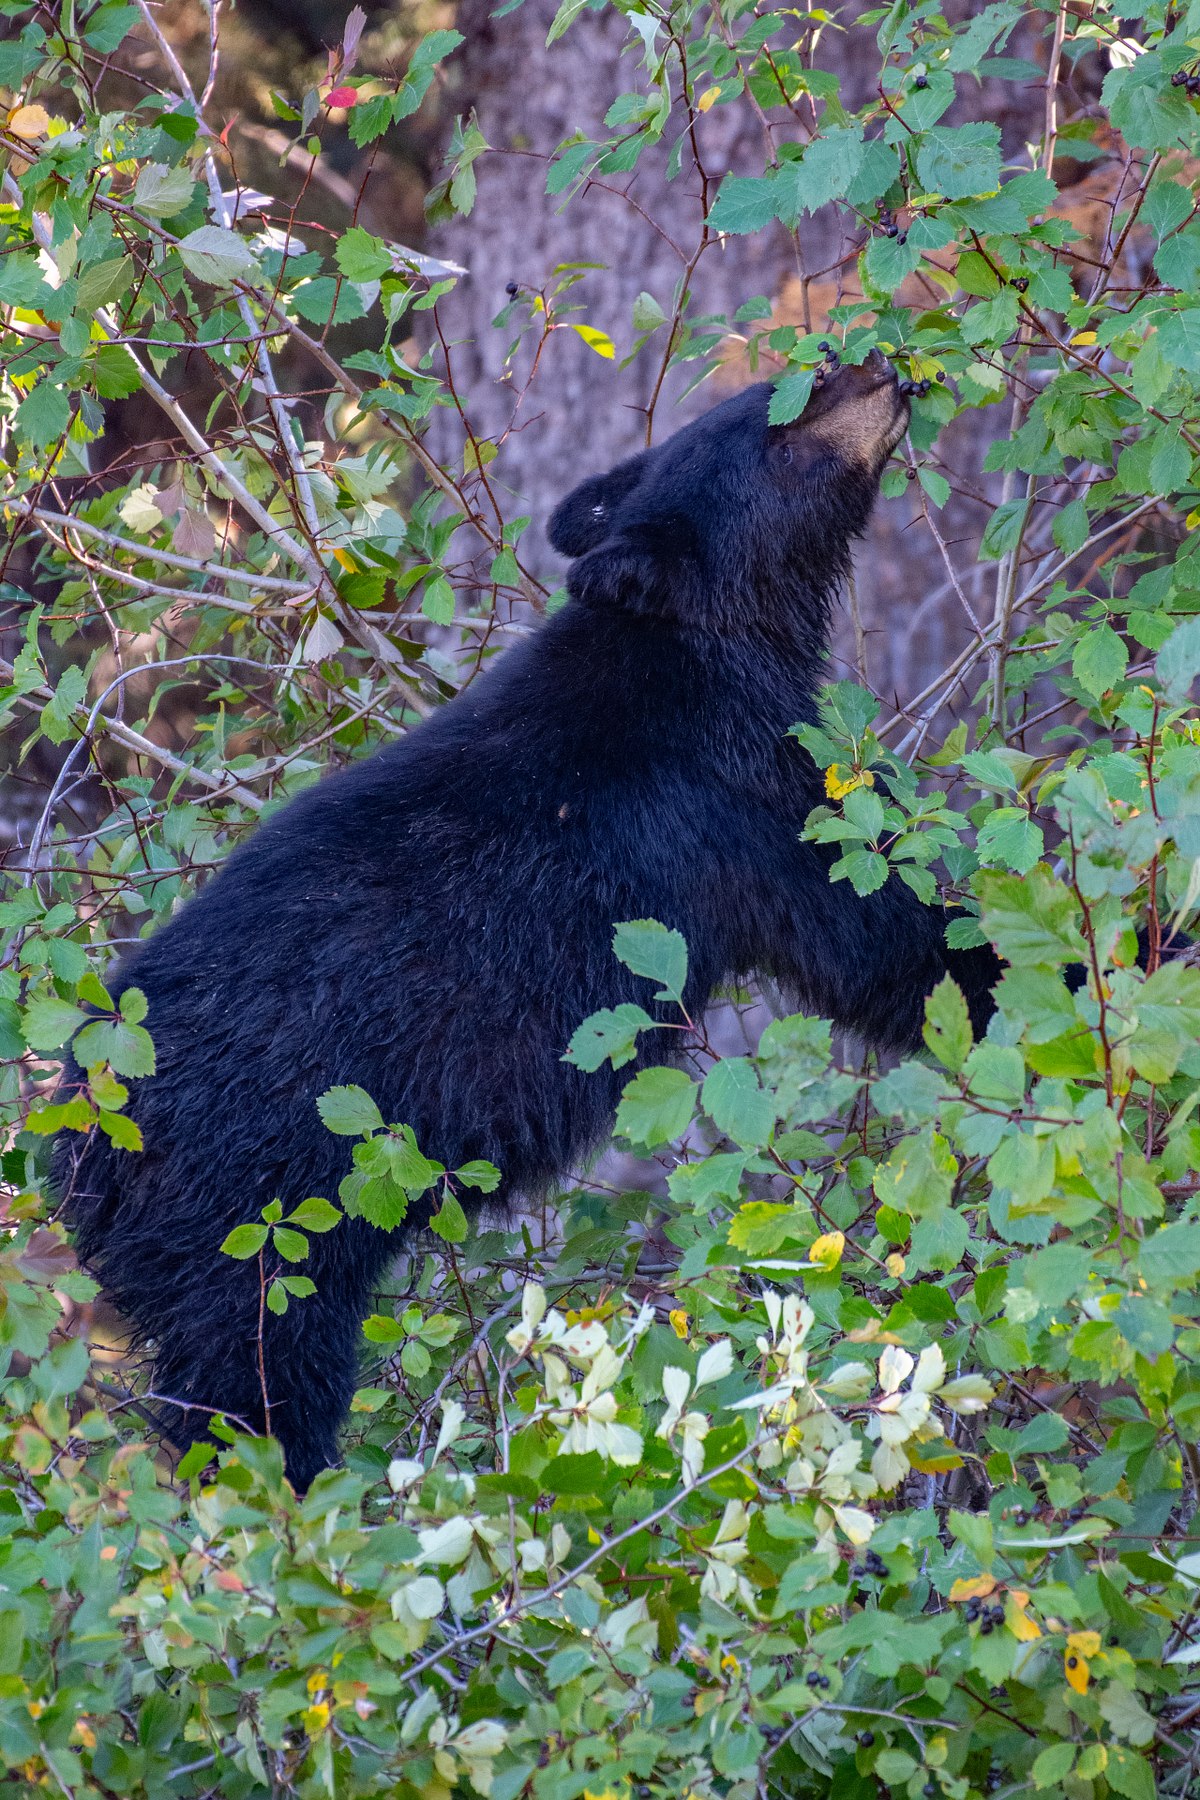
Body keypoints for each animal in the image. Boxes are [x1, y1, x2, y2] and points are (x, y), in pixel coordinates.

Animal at [55, 350, 1000, 1490]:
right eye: (785, 415)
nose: (875, 364)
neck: (701, 642)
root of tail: (77, 1150)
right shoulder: (735, 796)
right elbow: (879, 934)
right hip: (254, 1218)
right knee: (255, 1384)